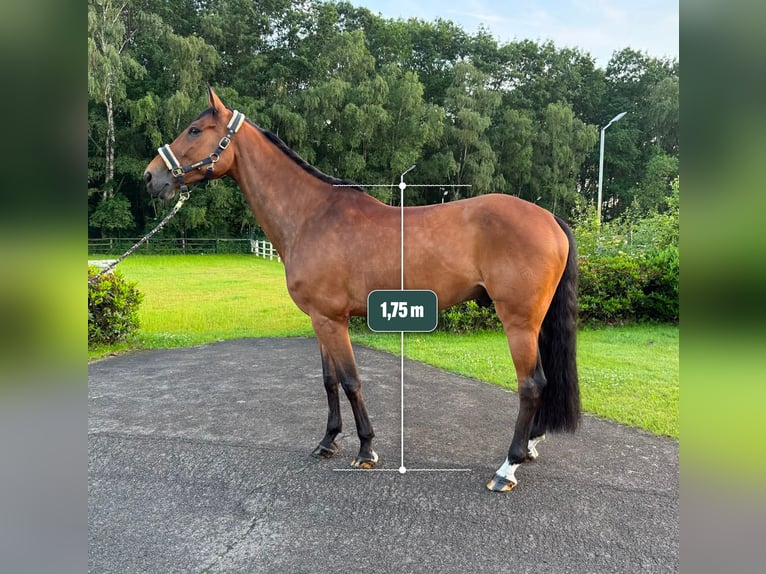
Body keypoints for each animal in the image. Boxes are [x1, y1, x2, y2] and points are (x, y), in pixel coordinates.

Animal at [144, 86, 580, 492]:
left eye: (194, 130)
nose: (150, 177)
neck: (310, 216)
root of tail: (549, 217)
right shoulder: (321, 320)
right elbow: (329, 381)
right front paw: (327, 442)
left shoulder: (331, 320)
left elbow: (351, 381)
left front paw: (366, 449)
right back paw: (530, 446)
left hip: (518, 322)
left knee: (531, 385)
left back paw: (508, 467)